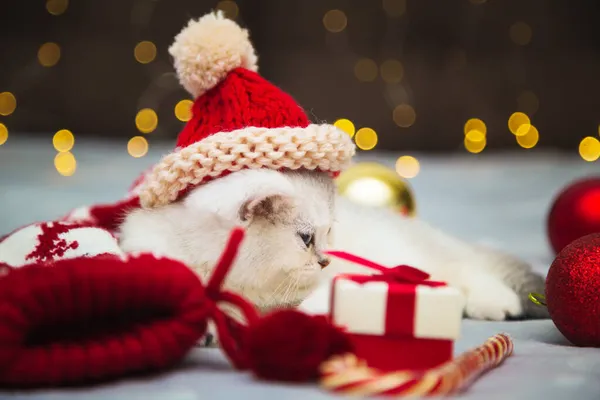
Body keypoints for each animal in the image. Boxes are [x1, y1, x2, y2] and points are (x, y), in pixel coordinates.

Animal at [118, 169, 548, 324]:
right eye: (307, 238)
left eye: (327, 236)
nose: (325, 261)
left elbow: (318, 300)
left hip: (424, 259)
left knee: (468, 271)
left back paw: (498, 304)